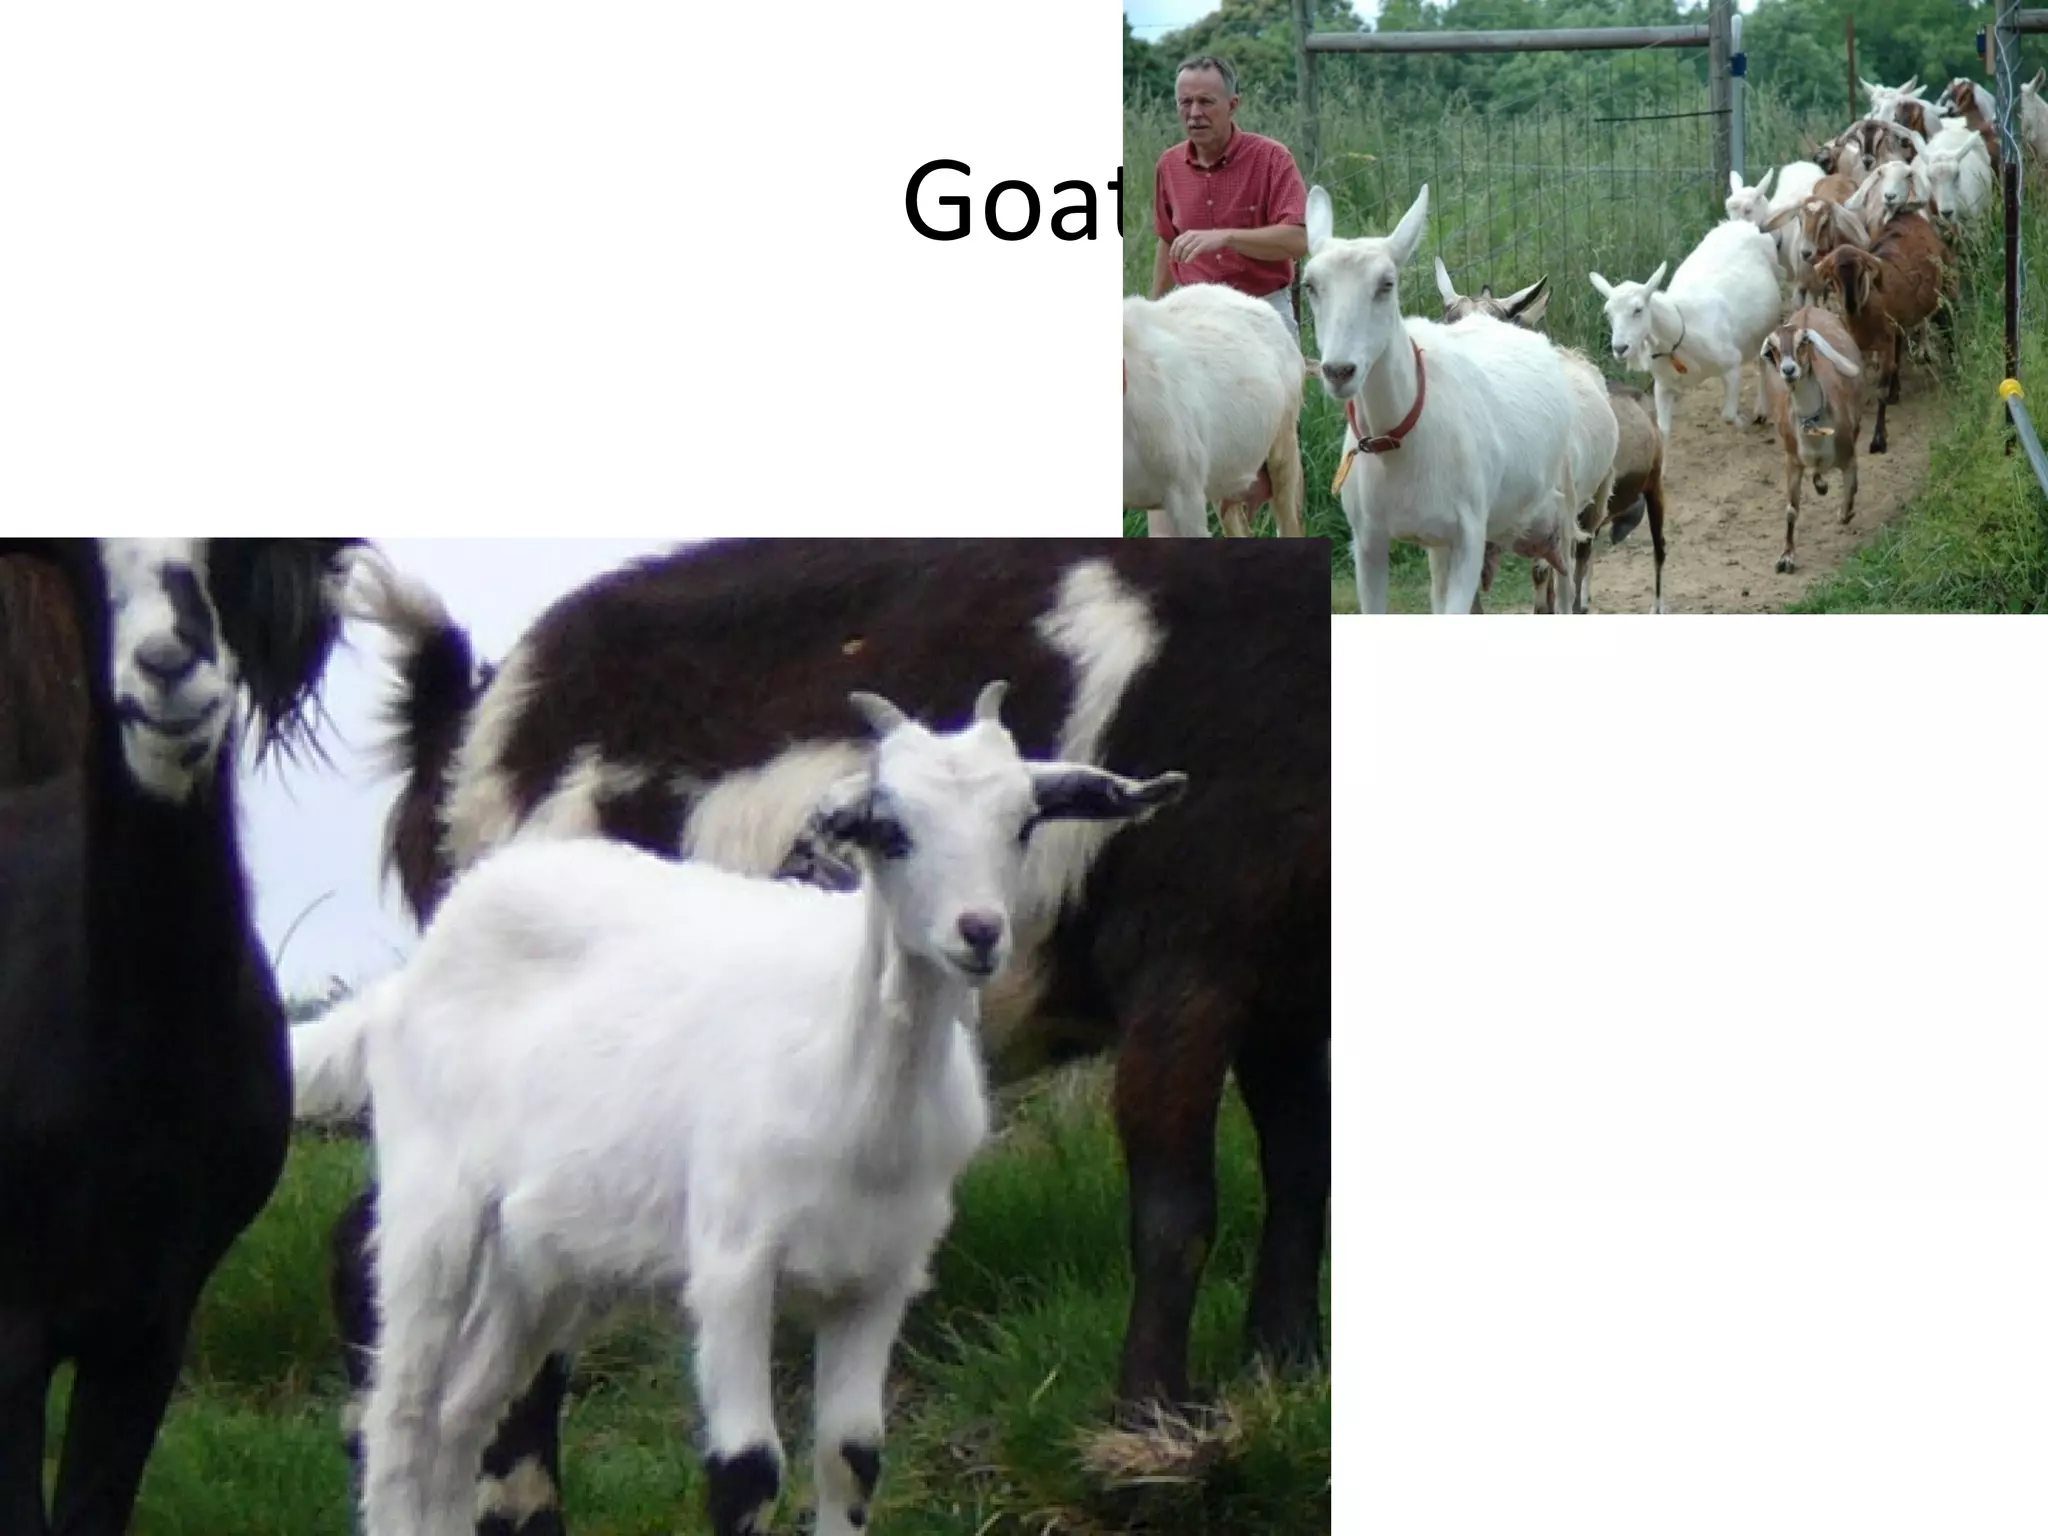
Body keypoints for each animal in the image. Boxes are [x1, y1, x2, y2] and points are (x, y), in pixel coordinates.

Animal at [315, 537, 1330, 1534]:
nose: (980, 932)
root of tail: (461, 723)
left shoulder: (1290, 1006)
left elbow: (1299, 1185)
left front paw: (1282, 1380)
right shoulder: (1190, 954)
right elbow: (1176, 1210)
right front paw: (1151, 1436)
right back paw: (508, 1499)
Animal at [1305, 182, 1590, 613]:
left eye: (1387, 283)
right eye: (1309, 285)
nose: (1339, 371)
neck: (1399, 439)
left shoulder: (1467, 535)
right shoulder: (1369, 542)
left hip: (1564, 503)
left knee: (1566, 582)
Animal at [1590, 217, 1784, 442]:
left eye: (1638, 309)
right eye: (1607, 313)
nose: (1620, 348)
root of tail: (1742, 223)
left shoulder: (1731, 365)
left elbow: (1727, 415)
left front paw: (1741, 422)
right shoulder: (1663, 385)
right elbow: (1663, 432)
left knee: (1763, 361)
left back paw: (1761, 410)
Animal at [1759, 311, 1866, 574]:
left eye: (1802, 342)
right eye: (1773, 348)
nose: (1788, 370)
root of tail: (1808, 308)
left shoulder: (1849, 456)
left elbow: (1850, 493)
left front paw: (1844, 514)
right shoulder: (1792, 461)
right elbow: (1791, 510)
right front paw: (1786, 557)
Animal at [1814, 210, 1951, 454]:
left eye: (1861, 273)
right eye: (1834, 277)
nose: (1850, 305)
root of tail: (1909, 214)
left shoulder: (1885, 343)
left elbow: (1880, 390)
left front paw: (1878, 439)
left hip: (1942, 289)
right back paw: (1896, 393)